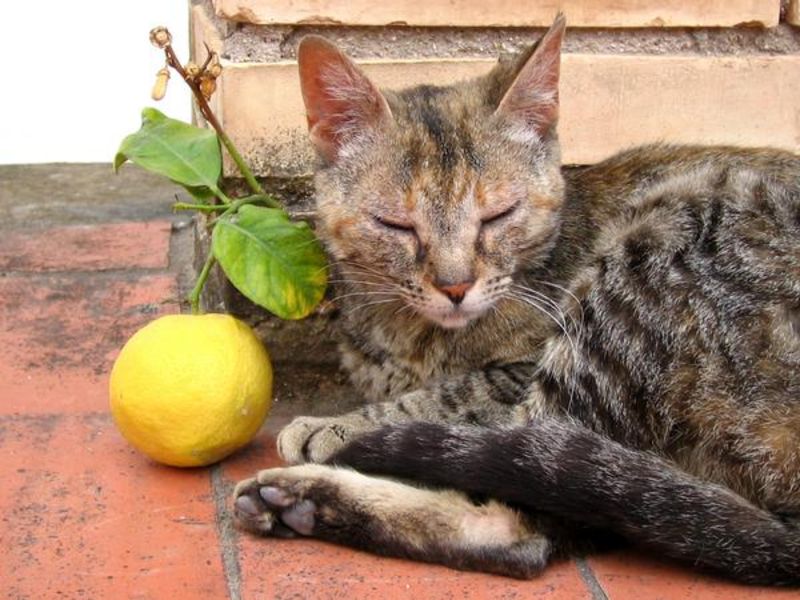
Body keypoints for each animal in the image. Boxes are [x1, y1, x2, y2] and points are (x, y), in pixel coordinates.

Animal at [233, 15, 800, 585]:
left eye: (497, 216)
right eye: (397, 225)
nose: (455, 285)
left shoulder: (519, 370)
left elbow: (450, 396)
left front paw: (340, 425)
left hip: (651, 252)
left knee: (529, 514)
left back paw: (305, 491)